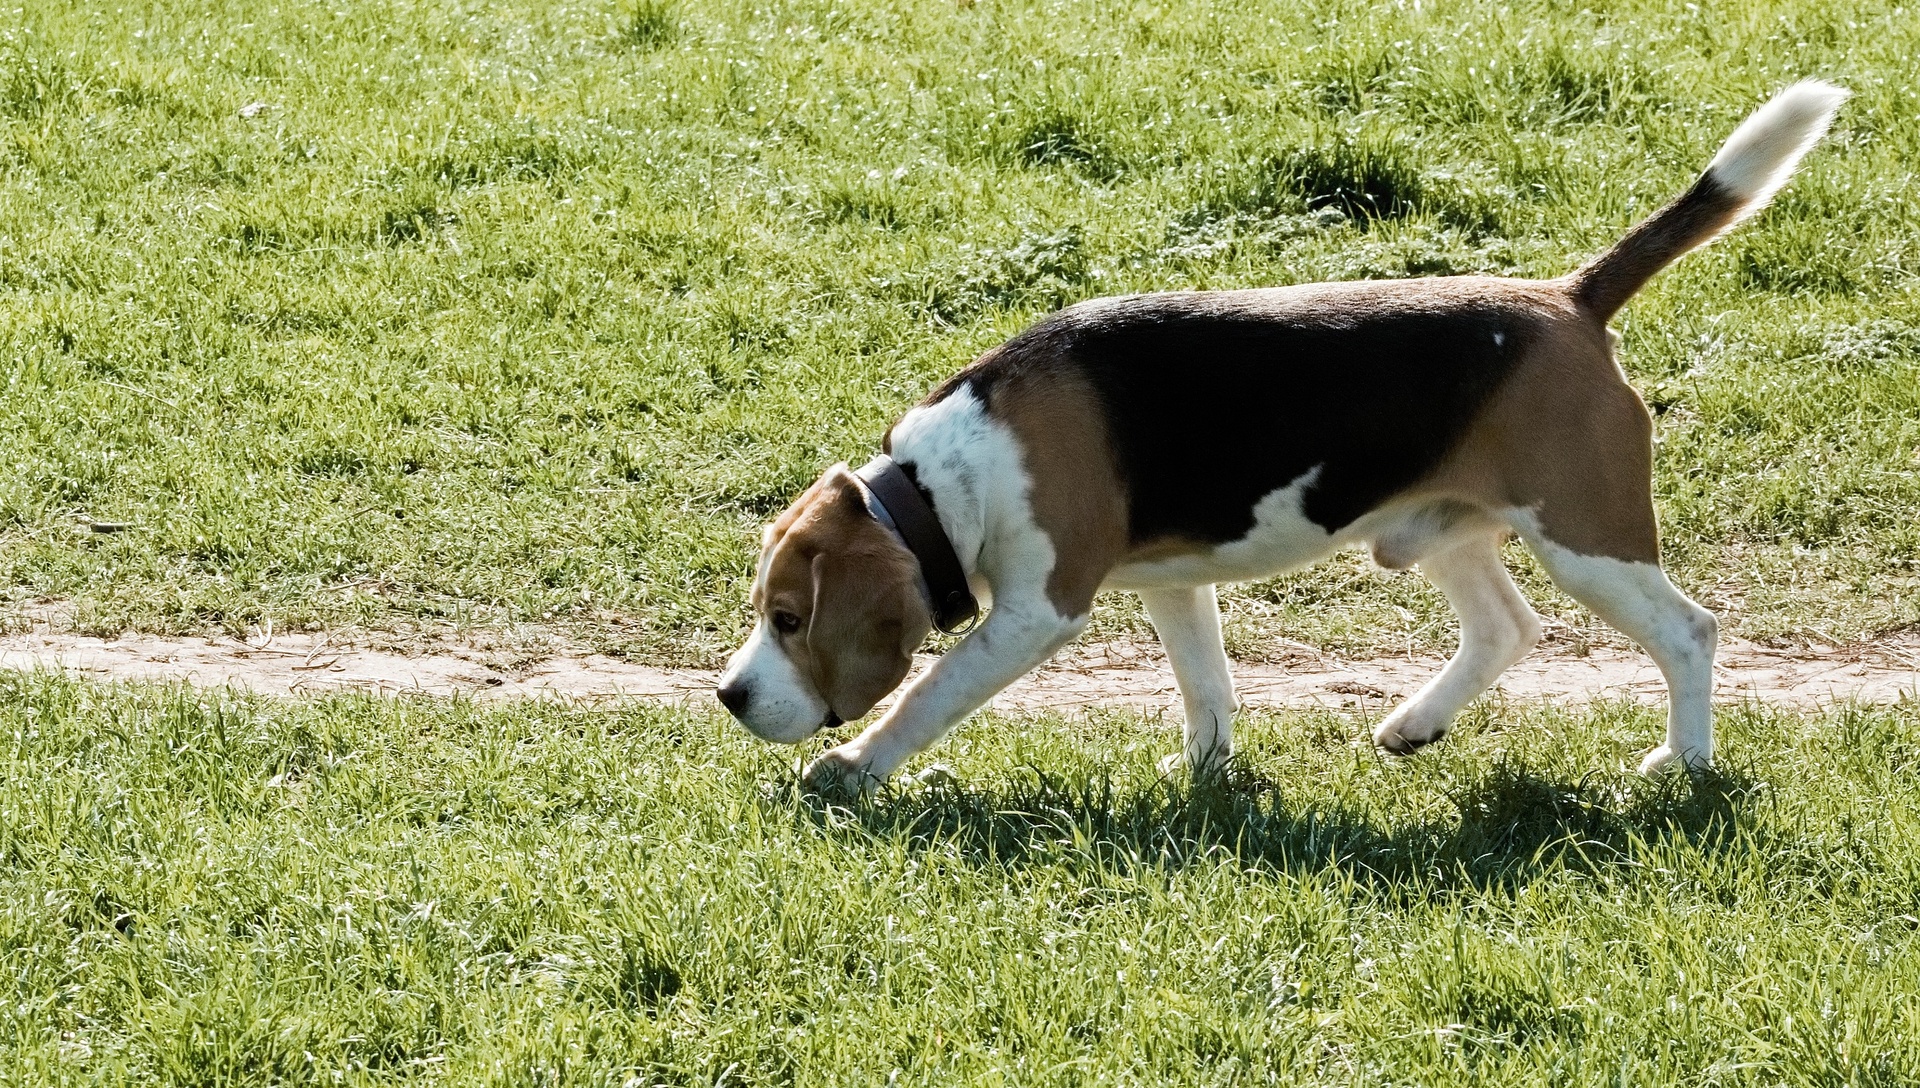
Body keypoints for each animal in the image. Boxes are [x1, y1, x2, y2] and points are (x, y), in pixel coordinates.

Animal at [716, 81, 1848, 794]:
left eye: (789, 617)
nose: (729, 697)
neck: (939, 482)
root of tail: (1567, 299)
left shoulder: (1038, 611)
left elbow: (930, 696)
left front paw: (854, 767)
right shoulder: (1173, 583)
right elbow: (1206, 687)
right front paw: (1206, 776)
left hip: (1587, 535)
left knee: (1688, 630)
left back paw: (1681, 764)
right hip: (1441, 528)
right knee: (1506, 629)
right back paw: (1417, 722)